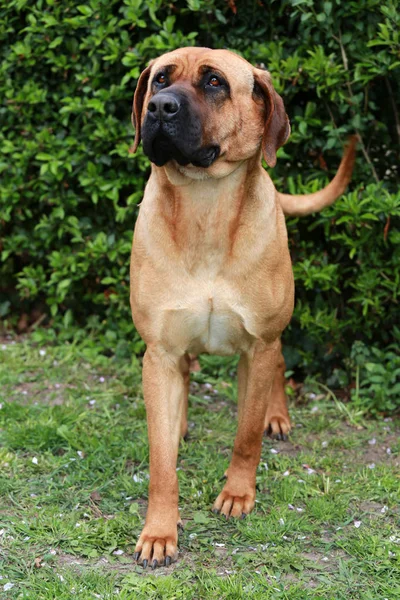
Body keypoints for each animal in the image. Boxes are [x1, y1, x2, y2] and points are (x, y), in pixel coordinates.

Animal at [129, 47, 356, 568]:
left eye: (215, 83)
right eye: (160, 80)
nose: (160, 108)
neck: (204, 205)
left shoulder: (258, 345)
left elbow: (246, 436)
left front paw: (237, 493)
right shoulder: (159, 353)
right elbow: (161, 462)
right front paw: (160, 531)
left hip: (273, 333)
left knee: (281, 364)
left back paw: (278, 415)